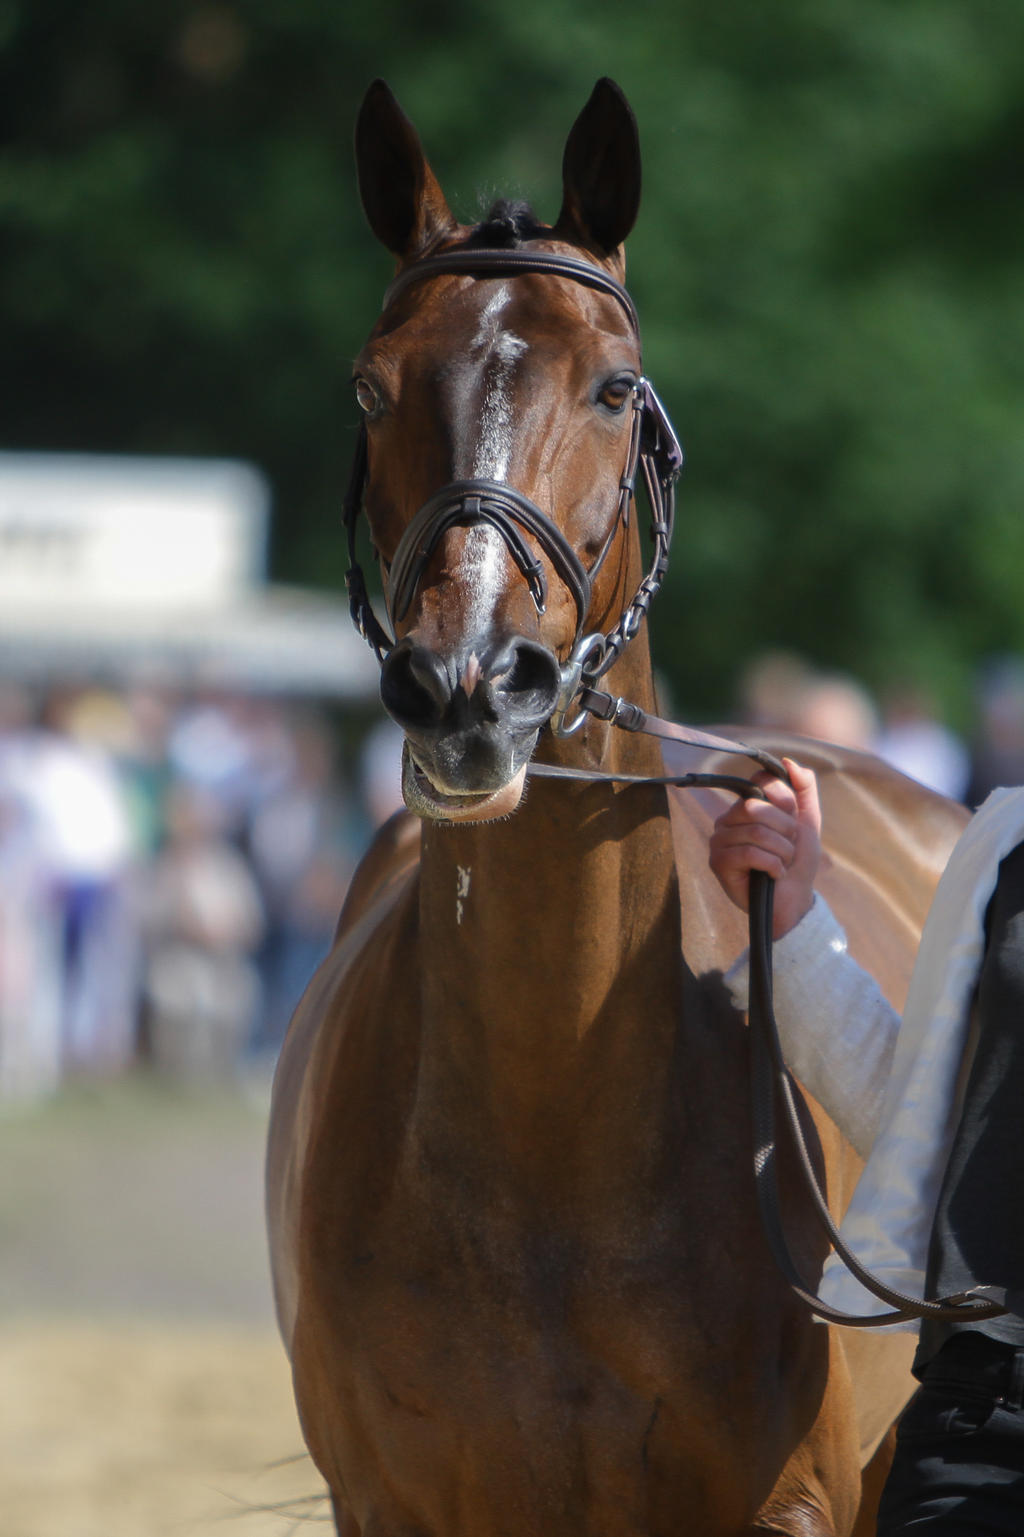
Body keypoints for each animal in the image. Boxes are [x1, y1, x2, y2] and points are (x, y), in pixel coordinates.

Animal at [266, 78, 968, 1536]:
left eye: (614, 386)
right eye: (371, 385)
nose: (468, 687)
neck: (553, 1129)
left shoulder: (788, 1502)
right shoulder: (391, 1503)